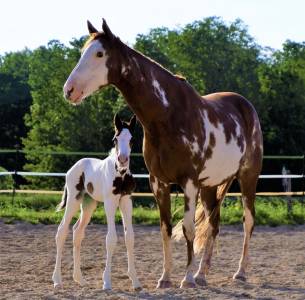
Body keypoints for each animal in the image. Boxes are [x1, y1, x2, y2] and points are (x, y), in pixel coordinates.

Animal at [52, 114, 141, 290]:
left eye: (132, 139)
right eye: (115, 139)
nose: (122, 159)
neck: (120, 174)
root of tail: (73, 167)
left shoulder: (126, 201)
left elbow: (130, 237)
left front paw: (135, 281)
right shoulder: (110, 203)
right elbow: (111, 238)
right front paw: (106, 282)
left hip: (89, 204)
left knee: (77, 232)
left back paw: (79, 279)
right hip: (74, 200)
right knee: (62, 231)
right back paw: (57, 280)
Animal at [63, 19, 262, 290]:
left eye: (100, 54)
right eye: (83, 51)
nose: (69, 90)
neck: (168, 116)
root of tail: (247, 108)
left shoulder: (188, 183)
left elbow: (188, 228)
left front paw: (186, 279)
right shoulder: (159, 182)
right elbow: (165, 228)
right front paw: (166, 277)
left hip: (247, 177)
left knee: (248, 221)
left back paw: (239, 272)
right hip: (211, 185)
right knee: (214, 224)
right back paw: (202, 274)